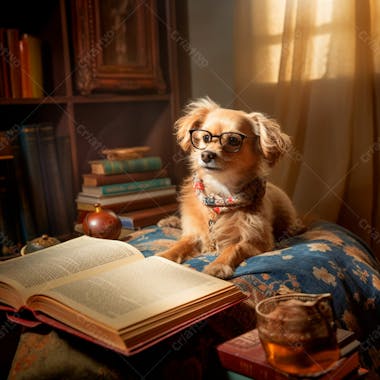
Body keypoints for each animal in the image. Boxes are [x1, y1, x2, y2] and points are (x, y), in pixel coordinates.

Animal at [156, 96, 302, 278]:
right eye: (205, 138)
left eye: (233, 140)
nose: (206, 155)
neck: (219, 195)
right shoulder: (193, 235)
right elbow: (180, 244)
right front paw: (163, 256)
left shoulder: (259, 241)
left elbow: (234, 247)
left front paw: (218, 265)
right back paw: (171, 222)